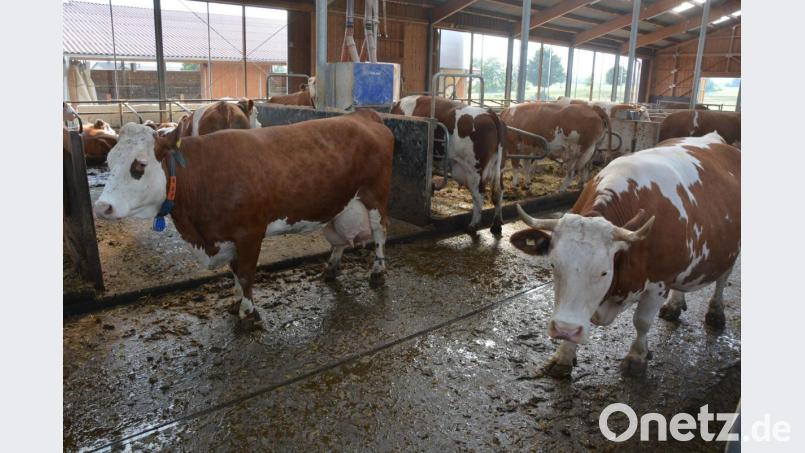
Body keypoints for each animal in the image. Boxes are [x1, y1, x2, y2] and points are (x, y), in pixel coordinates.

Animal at [93, 109, 394, 327]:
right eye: (109, 162)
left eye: (139, 165)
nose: (102, 207)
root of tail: (362, 114)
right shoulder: (226, 235)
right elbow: (235, 271)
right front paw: (236, 302)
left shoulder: (249, 232)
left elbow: (247, 274)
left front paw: (249, 313)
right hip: (338, 203)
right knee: (338, 237)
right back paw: (331, 268)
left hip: (375, 195)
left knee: (380, 231)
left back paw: (378, 272)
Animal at [390, 95, 505, 236]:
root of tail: (489, 113)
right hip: (498, 167)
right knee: (498, 192)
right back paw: (496, 225)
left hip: (474, 170)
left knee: (479, 196)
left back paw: (473, 226)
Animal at [510, 132, 740, 378]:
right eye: (553, 265)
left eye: (604, 272)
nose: (564, 329)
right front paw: (564, 355)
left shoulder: (659, 281)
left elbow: (642, 322)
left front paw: (636, 358)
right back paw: (674, 306)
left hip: (731, 250)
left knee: (723, 279)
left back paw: (716, 313)